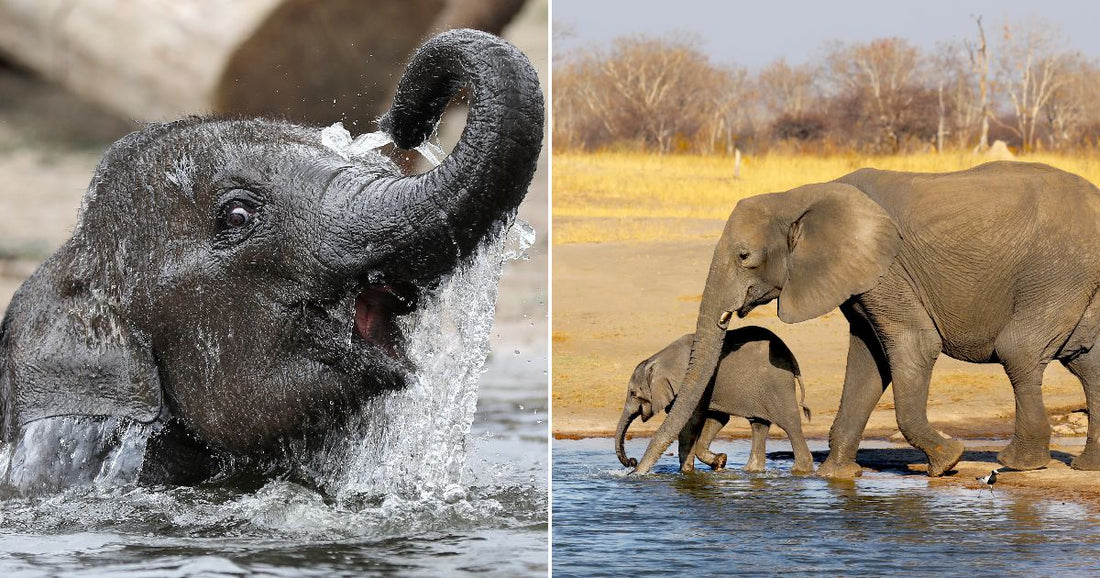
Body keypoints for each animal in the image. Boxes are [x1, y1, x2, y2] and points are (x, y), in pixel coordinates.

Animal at [615, 327, 813, 474]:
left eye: (633, 393)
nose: (632, 462)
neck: (659, 358)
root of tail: (793, 360)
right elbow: (717, 418)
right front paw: (720, 461)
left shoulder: (696, 384)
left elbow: (690, 423)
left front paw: (686, 473)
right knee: (759, 424)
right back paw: (751, 470)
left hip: (777, 385)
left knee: (789, 423)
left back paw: (800, 470)